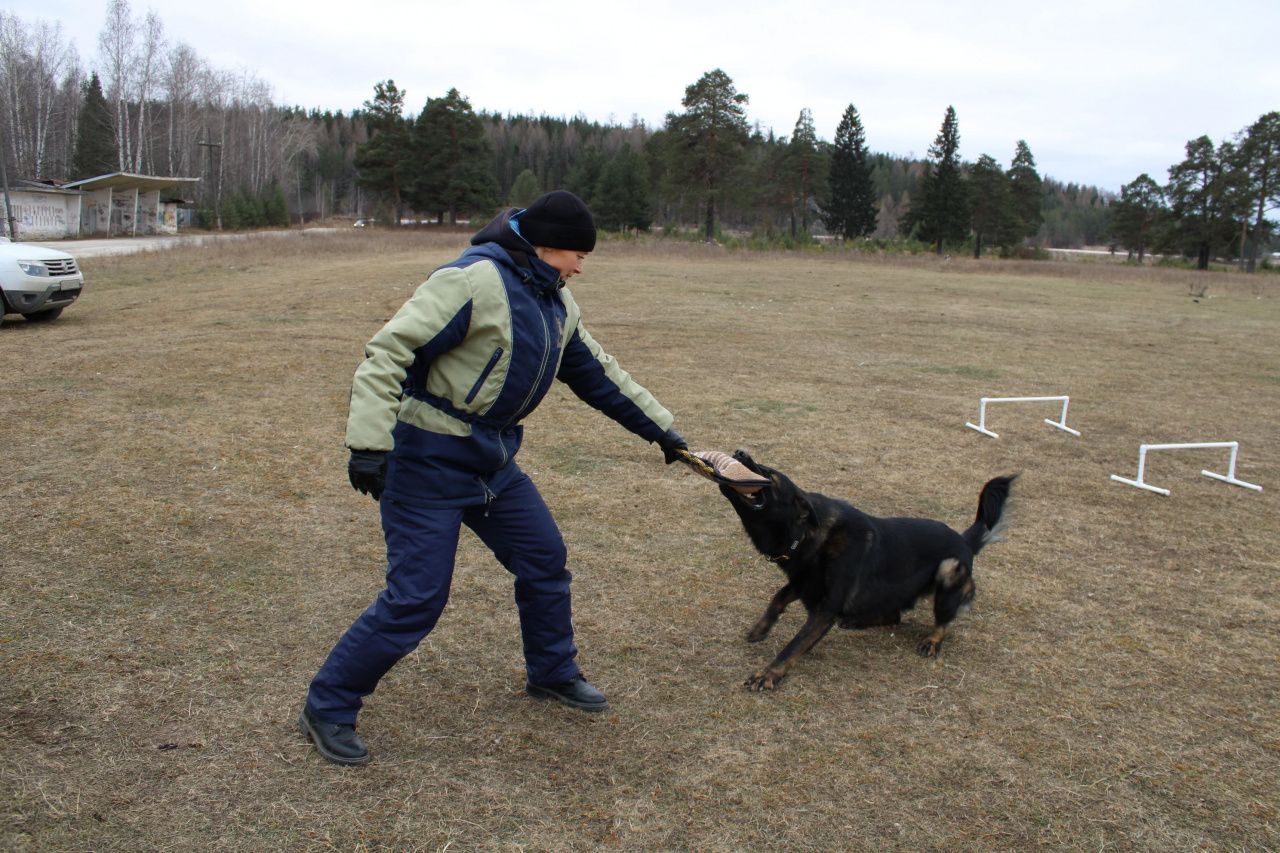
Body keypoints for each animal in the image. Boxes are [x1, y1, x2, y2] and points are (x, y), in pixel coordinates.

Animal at [716, 448, 1013, 686]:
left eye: (768, 473)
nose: (739, 451)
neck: (809, 535)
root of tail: (965, 540)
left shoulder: (825, 608)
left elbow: (795, 643)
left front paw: (768, 674)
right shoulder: (804, 582)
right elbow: (777, 598)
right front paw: (761, 629)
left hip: (949, 570)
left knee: (942, 620)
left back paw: (931, 641)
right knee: (895, 615)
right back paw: (857, 621)